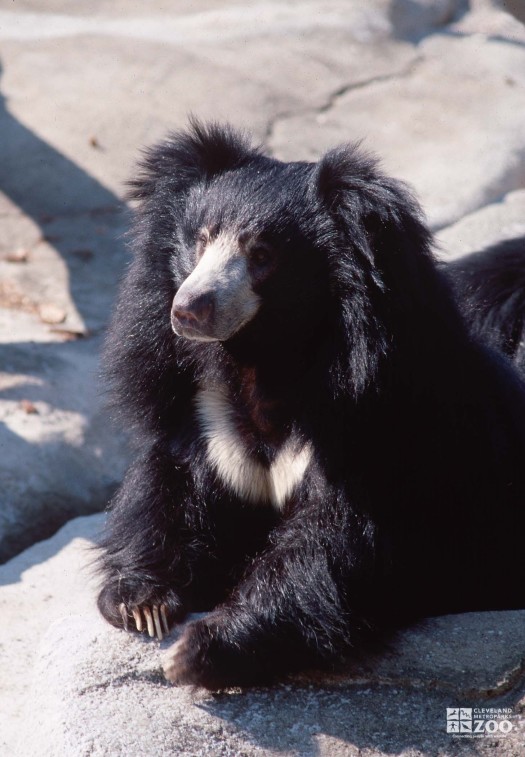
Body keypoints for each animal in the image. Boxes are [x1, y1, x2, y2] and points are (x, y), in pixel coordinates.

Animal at [96, 119, 524, 692]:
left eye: (262, 254)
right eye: (201, 239)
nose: (189, 309)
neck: (262, 362)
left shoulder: (376, 432)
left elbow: (335, 552)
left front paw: (197, 650)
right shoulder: (208, 420)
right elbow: (171, 488)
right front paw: (142, 604)